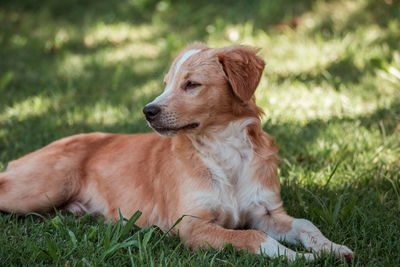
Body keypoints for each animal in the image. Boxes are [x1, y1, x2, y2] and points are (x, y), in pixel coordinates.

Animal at [0, 43, 354, 262]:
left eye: (191, 84)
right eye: (166, 83)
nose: (148, 111)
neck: (223, 149)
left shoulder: (266, 212)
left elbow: (306, 224)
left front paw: (331, 248)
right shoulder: (190, 225)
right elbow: (255, 238)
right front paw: (300, 258)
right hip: (42, 188)